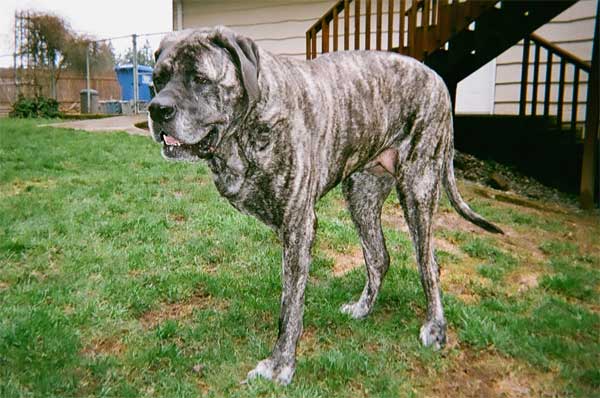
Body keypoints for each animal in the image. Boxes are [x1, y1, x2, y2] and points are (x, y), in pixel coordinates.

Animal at [149, 25, 502, 386]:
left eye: (200, 78)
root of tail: (438, 79)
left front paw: (280, 365)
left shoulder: (298, 226)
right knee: (379, 257)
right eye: (158, 80)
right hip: (361, 193)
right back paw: (363, 308)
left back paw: (435, 326)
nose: (156, 110)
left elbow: (290, 307)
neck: (245, 130)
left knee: (429, 264)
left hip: (418, 187)